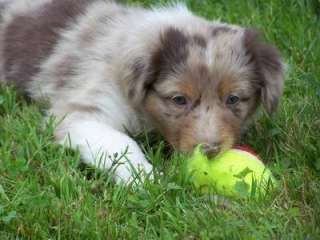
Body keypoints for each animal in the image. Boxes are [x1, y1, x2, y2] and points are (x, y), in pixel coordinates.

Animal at [0, 0, 284, 184]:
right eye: (179, 100)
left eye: (233, 99)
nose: (210, 150)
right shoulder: (80, 112)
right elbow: (121, 143)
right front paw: (148, 180)